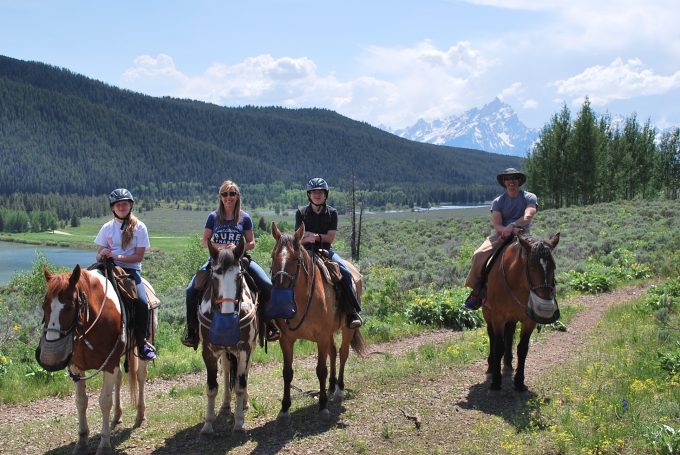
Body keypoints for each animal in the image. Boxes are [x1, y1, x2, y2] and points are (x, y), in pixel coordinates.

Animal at [38, 266, 154, 455]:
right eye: (44, 305)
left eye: (69, 307)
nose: (51, 359)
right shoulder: (77, 368)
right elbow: (81, 401)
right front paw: (82, 441)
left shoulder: (109, 364)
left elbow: (104, 402)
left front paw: (104, 444)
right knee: (119, 379)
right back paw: (117, 416)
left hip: (141, 346)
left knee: (140, 376)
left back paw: (140, 415)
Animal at [198, 239, 262, 434]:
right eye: (214, 276)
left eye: (239, 276)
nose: (227, 322)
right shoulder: (208, 351)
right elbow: (211, 387)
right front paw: (208, 424)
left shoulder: (244, 349)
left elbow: (240, 385)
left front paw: (239, 422)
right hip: (225, 352)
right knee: (227, 369)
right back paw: (226, 403)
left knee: (245, 372)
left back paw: (245, 402)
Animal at [270, 223, 366, 422]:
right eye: (273, 256)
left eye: (296, 258)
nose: (280, 288)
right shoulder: (286, 340)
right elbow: (287, 373)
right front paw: (285, 408)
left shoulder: (320, 337)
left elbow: (321, 370)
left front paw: (322, 406)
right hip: (329, 332)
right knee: (333, 352)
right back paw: (331, 387)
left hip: (347, 328)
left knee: (343, 353)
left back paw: (339, 389)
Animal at [484, 233, 556, 394]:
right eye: (532, 266)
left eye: (554, 266)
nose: (545, 307)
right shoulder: (498, 317)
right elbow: (499, 345)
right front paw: (496, 381)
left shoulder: (529, 321)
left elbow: (523, 349)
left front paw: (519, 382)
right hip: (487, 313)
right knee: (491, 335)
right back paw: (491, 365)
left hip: (512, 318)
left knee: (510, 333)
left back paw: (508, 363)